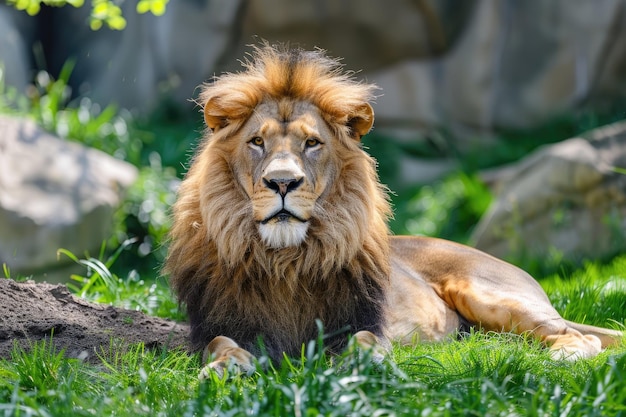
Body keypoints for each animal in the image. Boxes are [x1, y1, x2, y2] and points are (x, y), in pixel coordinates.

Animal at [165, 44, 620, 376]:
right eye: (257, 142)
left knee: (581, 337)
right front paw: (223, 370)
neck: (285, 262)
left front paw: (366, 366)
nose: (282, 182)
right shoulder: (223, 325)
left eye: (312, 143)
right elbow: (219, 345)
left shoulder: (358, 323)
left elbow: (366, 342)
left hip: (491, 294)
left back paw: (559, 358)